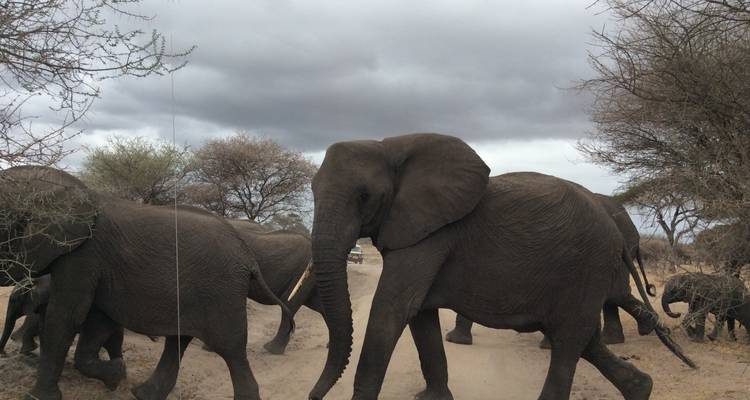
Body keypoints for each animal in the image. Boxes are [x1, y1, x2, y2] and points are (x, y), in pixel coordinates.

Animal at [0, 166, 292, 400]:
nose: (3, 356)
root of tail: (248, 257)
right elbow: (97, 319)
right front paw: (116, 375)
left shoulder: (82, 255)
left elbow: (65, 317)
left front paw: (37, 397)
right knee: (178, 342)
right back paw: (143, 394)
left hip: (222, 291)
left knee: (230, 349)